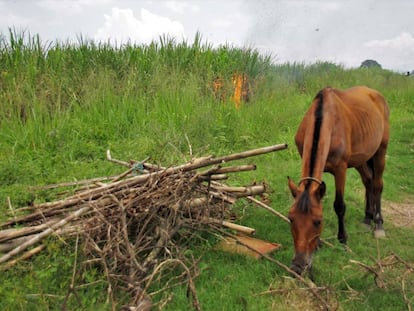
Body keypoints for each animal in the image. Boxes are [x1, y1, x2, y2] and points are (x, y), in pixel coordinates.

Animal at [286, 86, 390, 276]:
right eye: (291, 219)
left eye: (317, 222)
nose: (298, 265)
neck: (325, 120)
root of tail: (376, 94)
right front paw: (318, 244)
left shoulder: (340, 169)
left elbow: (339, 206)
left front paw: (343, 240)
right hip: (362, 158)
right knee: (368, 181)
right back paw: (367, 218)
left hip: (380, 150)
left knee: (377, 185)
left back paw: (378, 224)